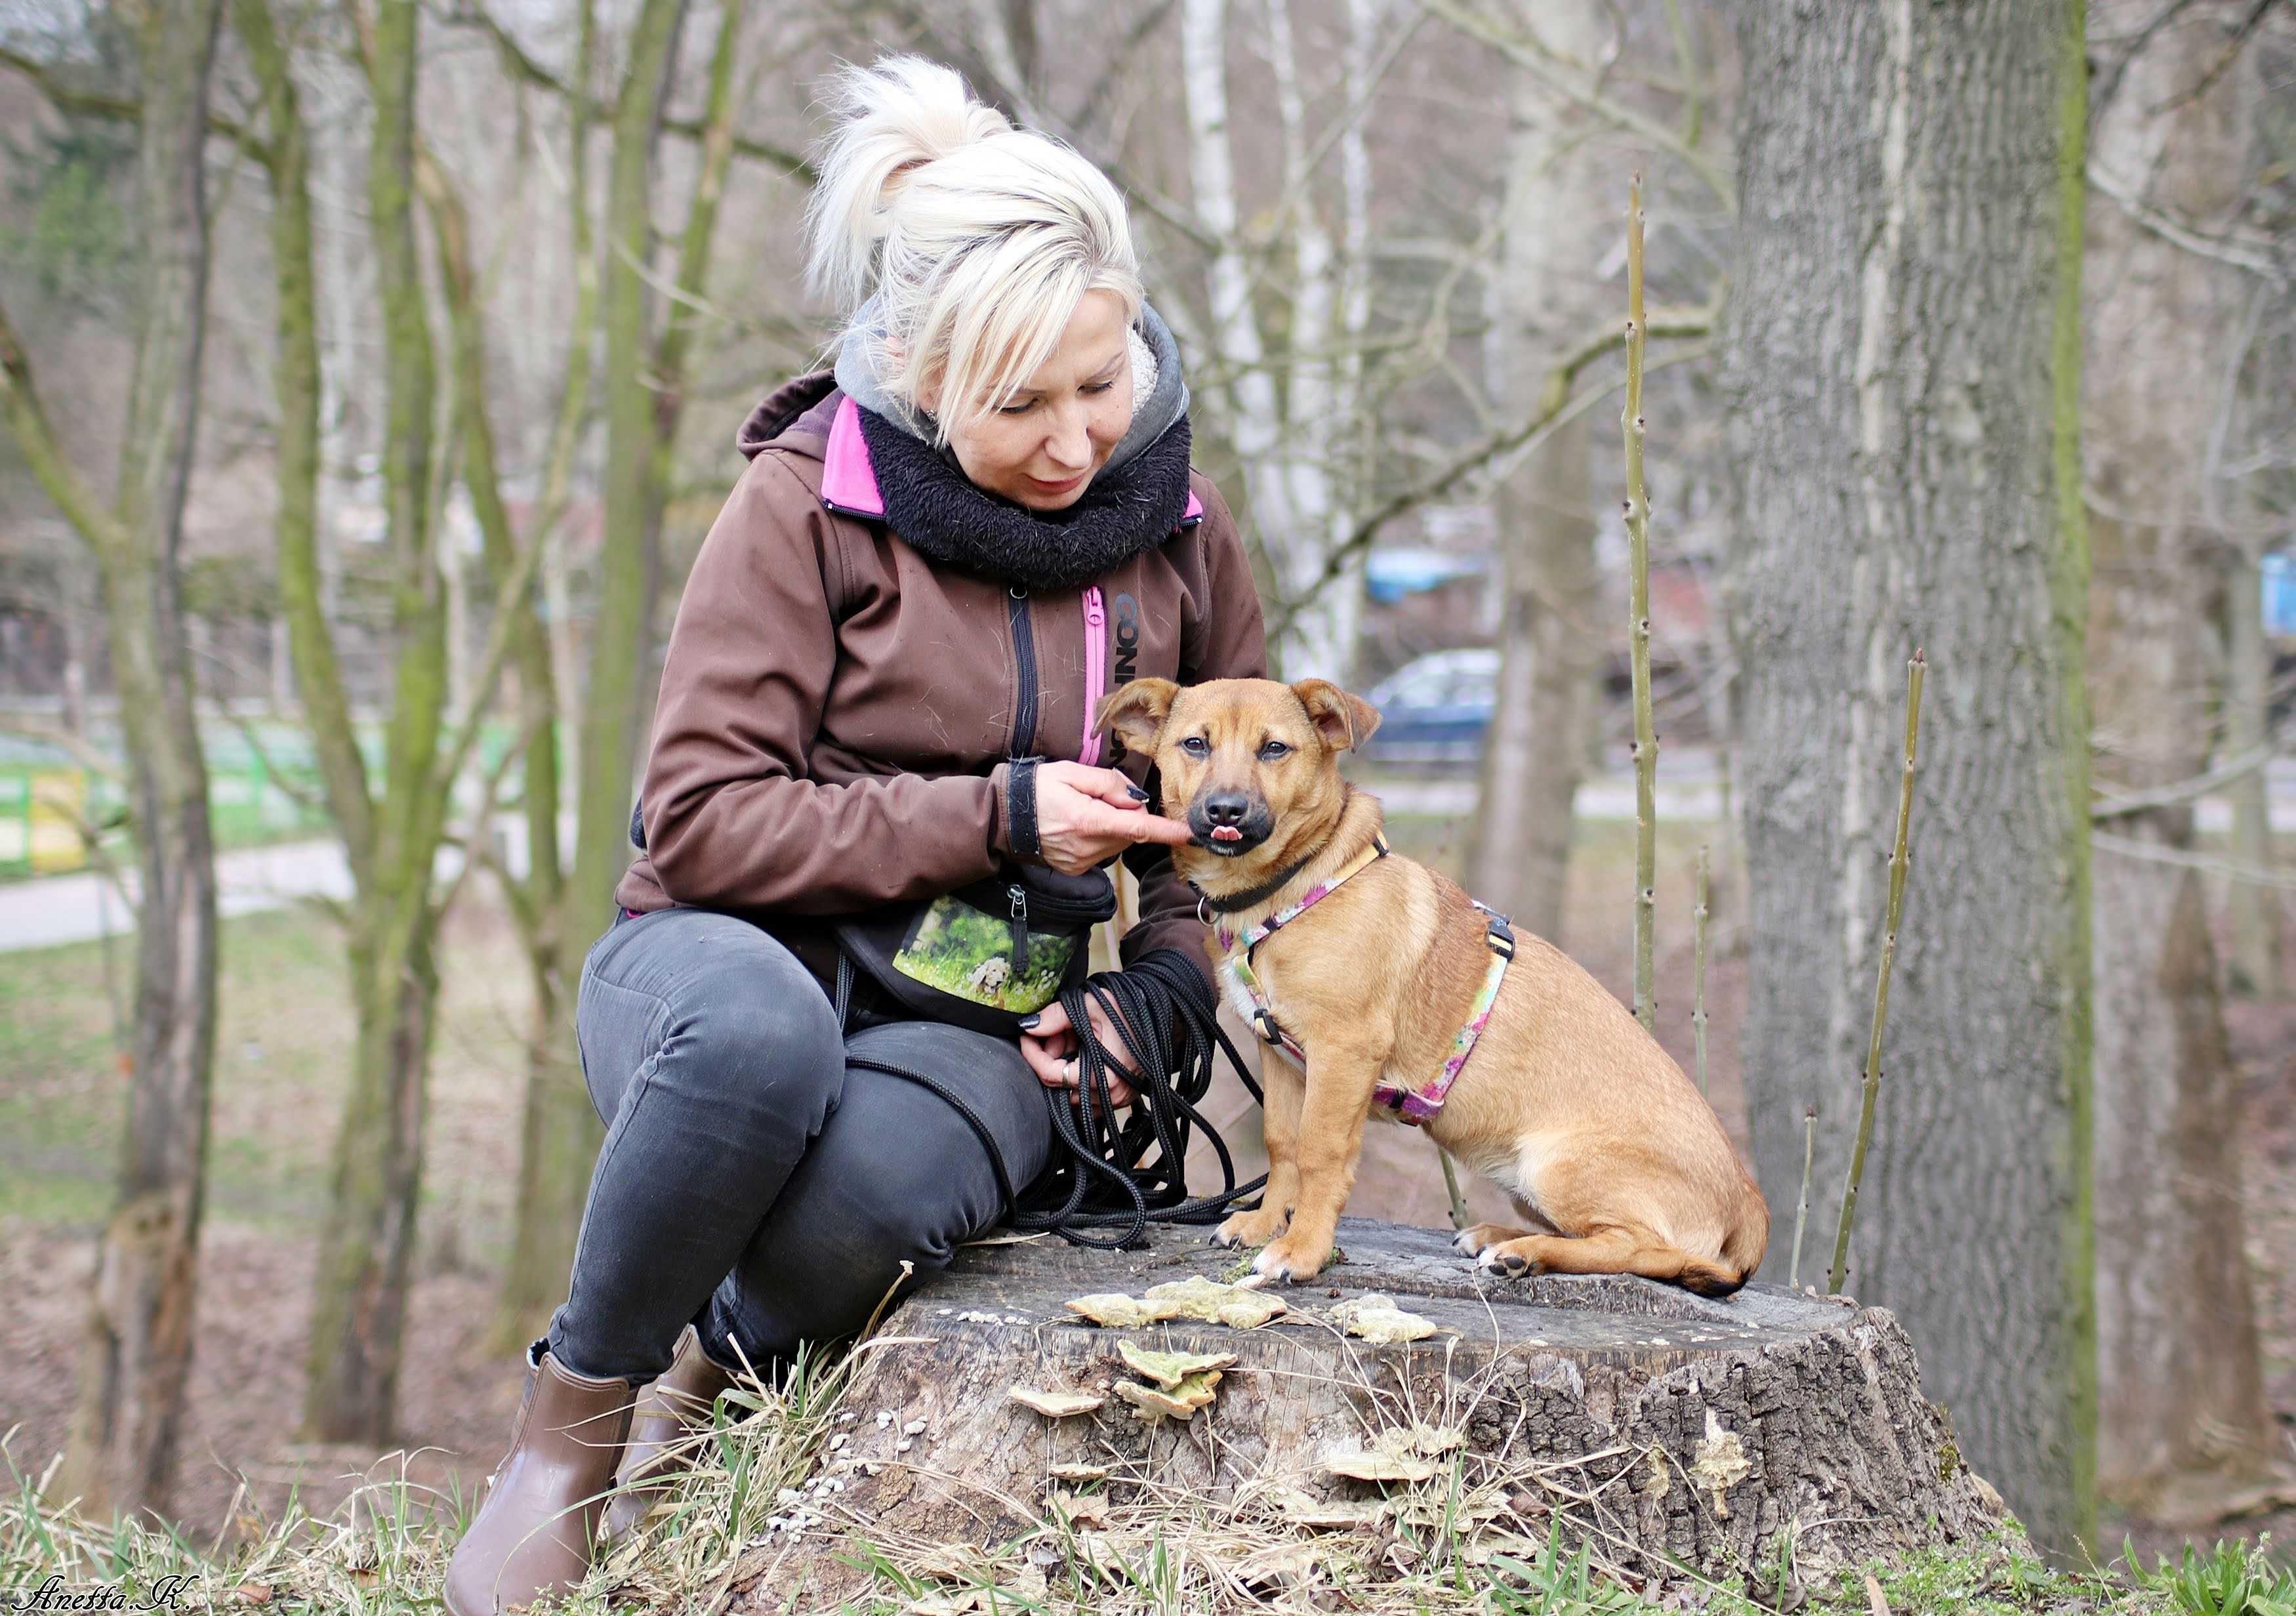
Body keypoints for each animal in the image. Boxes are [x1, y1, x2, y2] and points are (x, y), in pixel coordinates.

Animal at [1102, 674, 1763, 1295]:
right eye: (1196, 744)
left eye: (1274, 749)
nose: (1226, 811)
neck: (1291, 890)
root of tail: (1748, 1201)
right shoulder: (1284, 1059)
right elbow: (1282, 1145)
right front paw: (1265, 1225)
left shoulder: (1343, 1054)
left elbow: (1321, 1155)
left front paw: (1302, 1250)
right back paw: (1499, 1236)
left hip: (1558, 1166)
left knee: (1647, 1250)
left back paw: (1524, 1253)